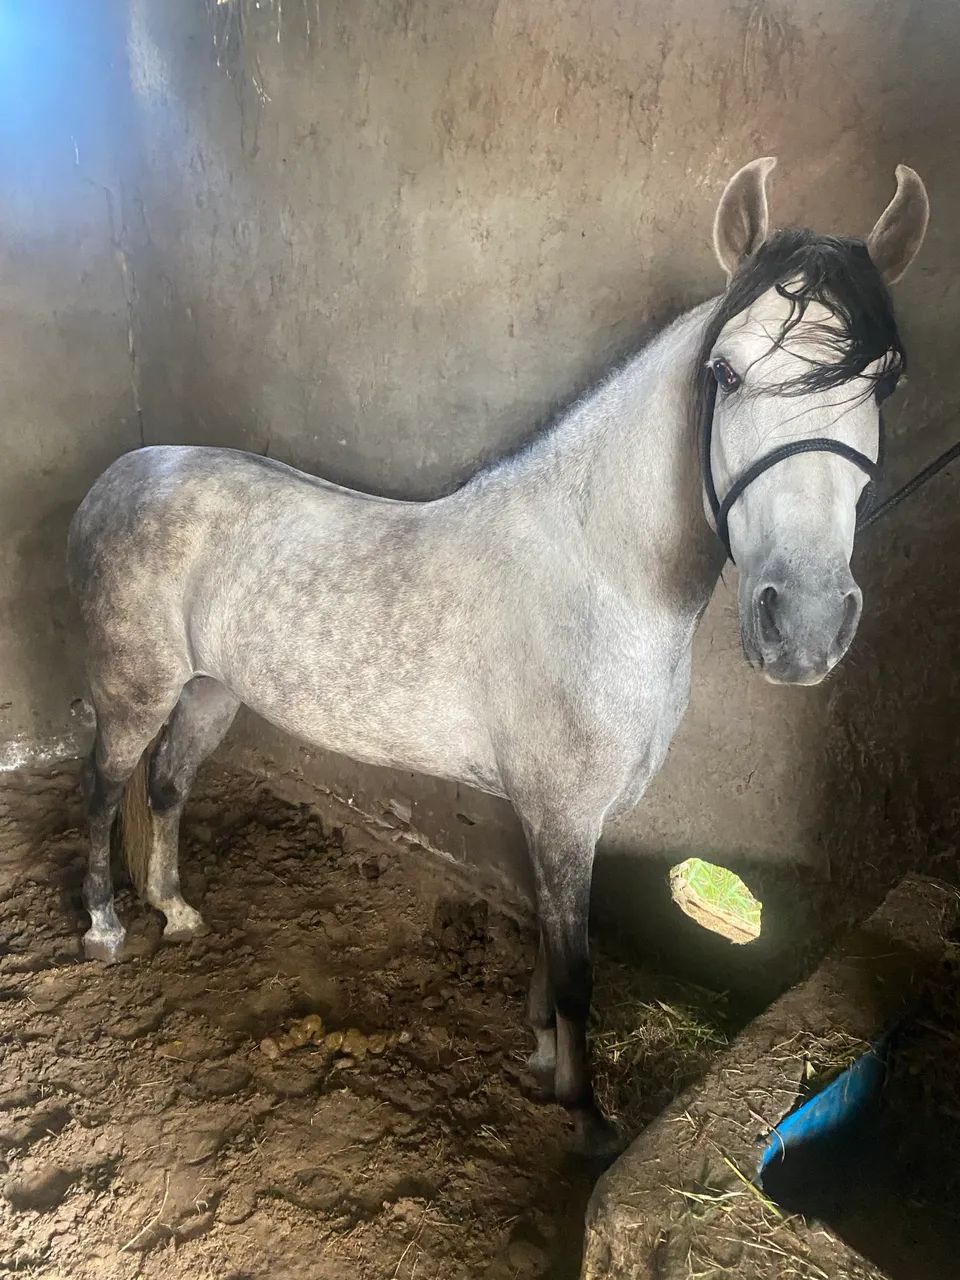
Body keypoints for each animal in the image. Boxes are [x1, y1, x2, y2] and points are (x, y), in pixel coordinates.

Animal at [67, 157, 929, 1153]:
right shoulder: (562, 814)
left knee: (168, 786)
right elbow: (578, 966)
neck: (602, 577)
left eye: (884, 384)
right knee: (103, 790)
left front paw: (544, 1055)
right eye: (727, 371)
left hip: (211, 692)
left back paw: (175, 910)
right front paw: (586, 1115)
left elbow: (553, 946)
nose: (807, 627)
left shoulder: (563, 817)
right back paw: (104, 929)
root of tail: (124, 473)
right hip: (135, 690)